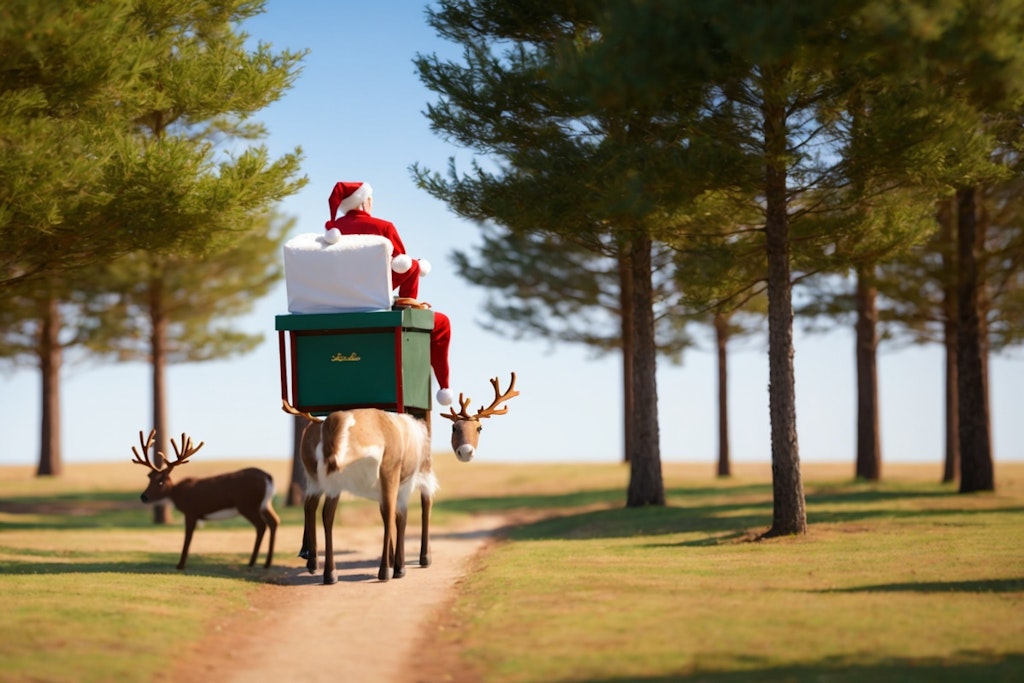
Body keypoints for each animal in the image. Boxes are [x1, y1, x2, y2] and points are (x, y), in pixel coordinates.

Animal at [130, 432, 280, 573]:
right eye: (149, 478)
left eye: (160, 482)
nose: (144, 497)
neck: (177, 493)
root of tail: (268, 477)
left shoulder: (191, 512)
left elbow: (188, 537)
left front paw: (180, 565)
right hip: (264, 504)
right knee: (274, 521)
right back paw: (266, 563)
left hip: (248, 505)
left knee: (261, 525)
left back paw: (252, 562)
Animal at [284, 370, 516, 585]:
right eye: (454, 427)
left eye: (479, 427)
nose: (466, 452)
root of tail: (334, 423)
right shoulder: (417, 476)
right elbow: (412, 512)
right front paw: (416, 560)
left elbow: (389, 513)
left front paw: (396, 559)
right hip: (382, 469)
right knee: (371, 512)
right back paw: (381, 572)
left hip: (317, 476)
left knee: (316, 508)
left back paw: (319, 566)